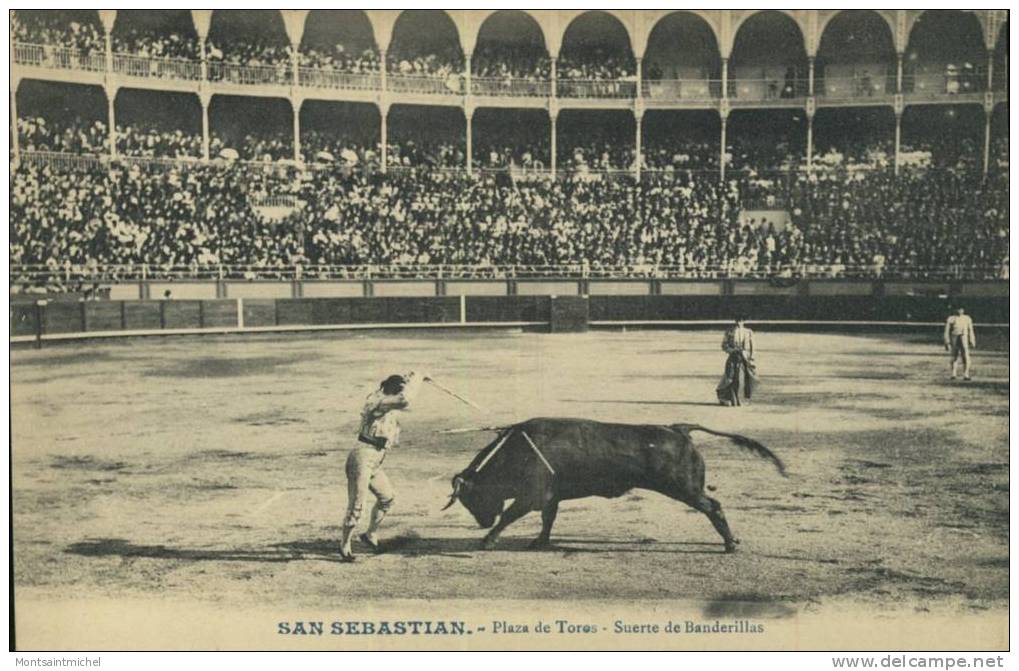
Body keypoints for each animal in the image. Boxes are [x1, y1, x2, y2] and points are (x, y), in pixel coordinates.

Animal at [442, 416, 782, 550]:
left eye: (471, 498)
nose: (483, 522)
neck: (515, 451)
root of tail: (679, 429)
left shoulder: (532, 495)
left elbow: (512, 516)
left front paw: (488, 540)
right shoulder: (551, 497)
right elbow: (548, 519)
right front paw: (539, 542)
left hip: (684, 488)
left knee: (713, 506)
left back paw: (730, 544)